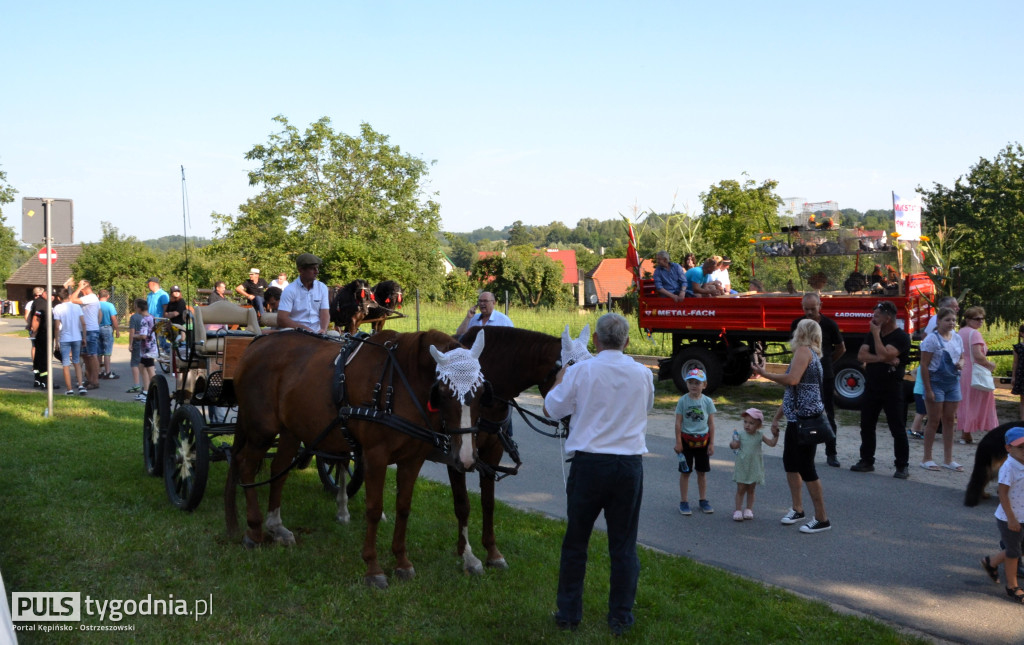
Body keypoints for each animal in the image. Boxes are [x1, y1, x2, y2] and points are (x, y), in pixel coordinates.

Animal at [225, 331, 487, 589]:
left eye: (482, 392)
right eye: (444, 393)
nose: (466, 457)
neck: (401, 382)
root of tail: (258, 342)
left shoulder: (412, 459)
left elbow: (403, 508)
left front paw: (402, 561)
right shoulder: (375, 455)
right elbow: (374, 509)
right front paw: (373, 568)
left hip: (290, 431)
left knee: (278, 470)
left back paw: (276, 526)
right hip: (262, 430)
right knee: (244, 465)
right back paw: (254, 529)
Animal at [448, 325, 593, 573]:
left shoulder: (493, 451)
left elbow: (488, 502)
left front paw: (492, 552)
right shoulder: (455, 457)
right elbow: (463, 505)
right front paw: (468, 555)